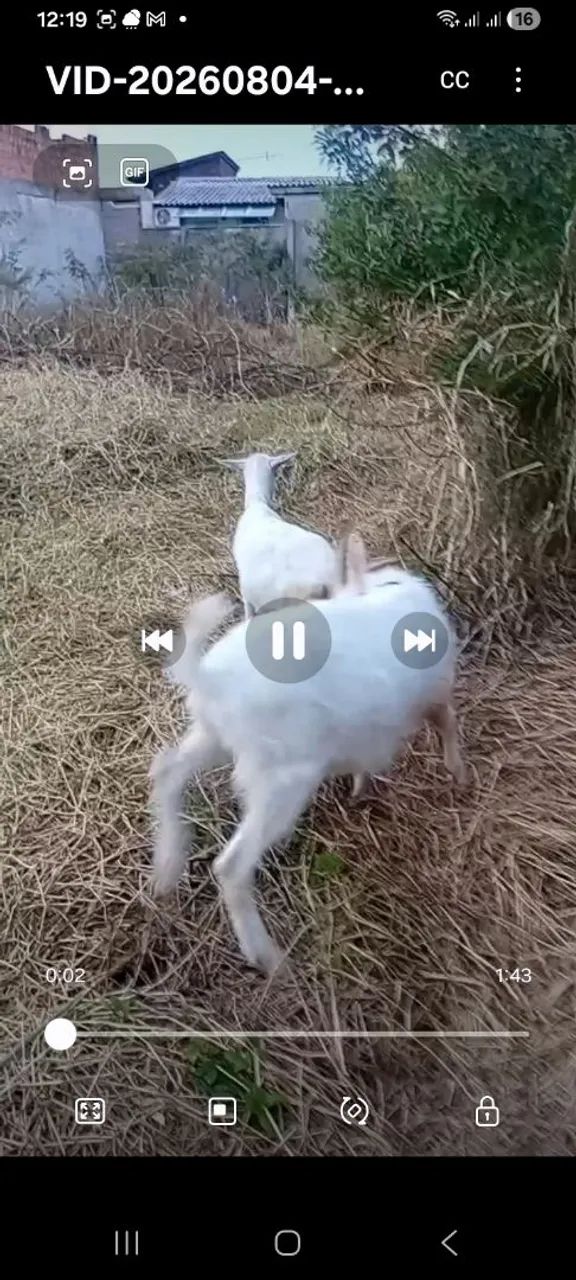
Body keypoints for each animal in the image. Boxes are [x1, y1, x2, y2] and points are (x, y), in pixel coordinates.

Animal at [150, 548, 465, 974]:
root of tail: (210, 679)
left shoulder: (362, 728)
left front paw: (360, 787)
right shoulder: (432, 694)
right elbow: (448, 723)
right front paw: (458, 772)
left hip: (214, 736)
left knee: (167, 772)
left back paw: (167, 867)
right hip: (284, 778)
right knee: (232, 866)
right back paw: (269, 959)